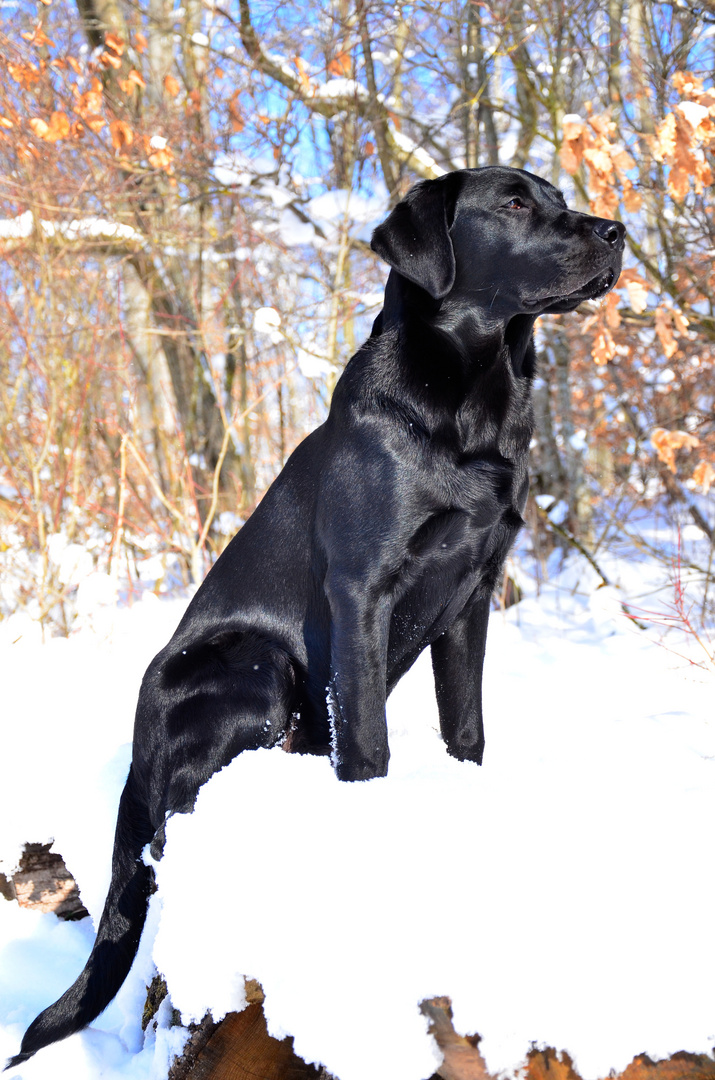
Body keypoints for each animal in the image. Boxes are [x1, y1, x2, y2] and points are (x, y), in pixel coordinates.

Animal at [8, 164, 626, 1067]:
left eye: (554, 194)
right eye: (513, 203)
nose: (617, 231)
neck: (471, 404)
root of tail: (136, 755)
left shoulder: (472, 593)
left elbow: (466, 727)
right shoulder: (361, 591)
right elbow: (367, 741)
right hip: (250, 664)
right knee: (177, 819)